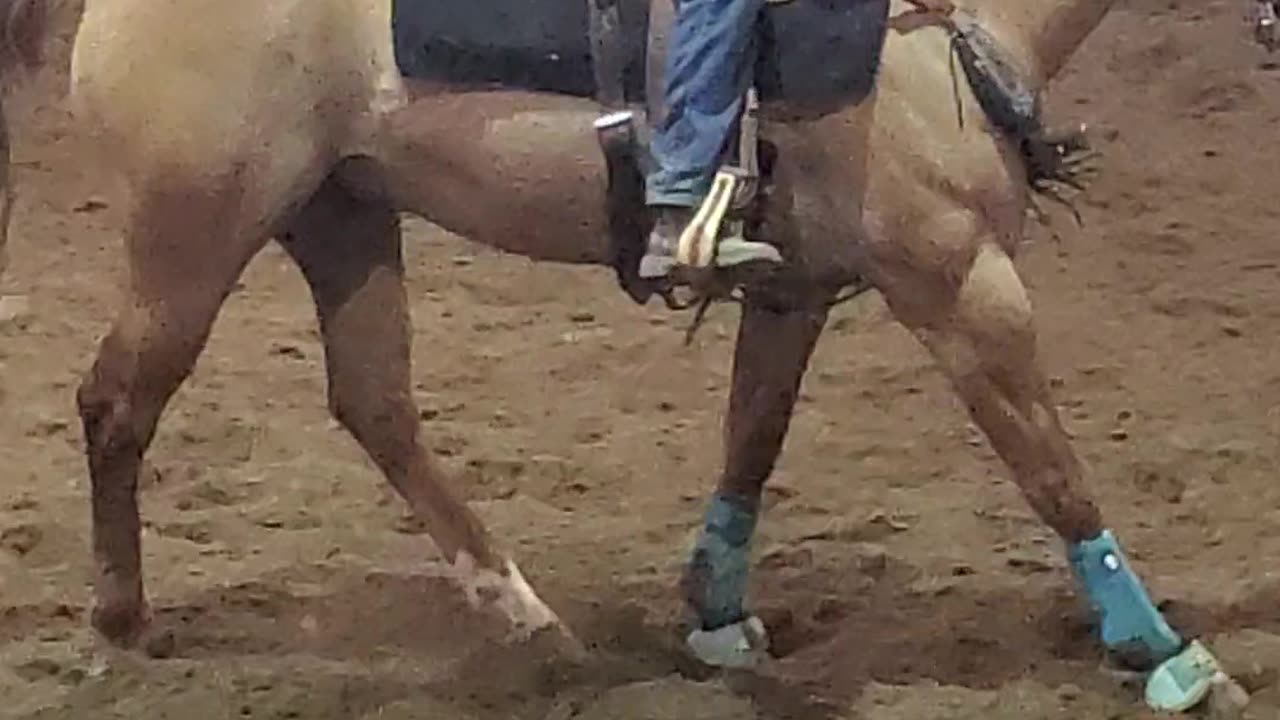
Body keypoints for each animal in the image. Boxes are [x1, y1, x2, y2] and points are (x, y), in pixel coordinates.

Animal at [52, 0, 1249, 707]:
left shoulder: (795, 291)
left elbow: (751, 441)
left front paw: (716, 618)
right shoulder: (958, 285)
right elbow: (1051, 470)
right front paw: (1166, 655)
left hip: (340, 211)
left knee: (373, 402)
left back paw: (529, 619)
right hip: (196, 232)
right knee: (118, 401)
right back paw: (124, 623)